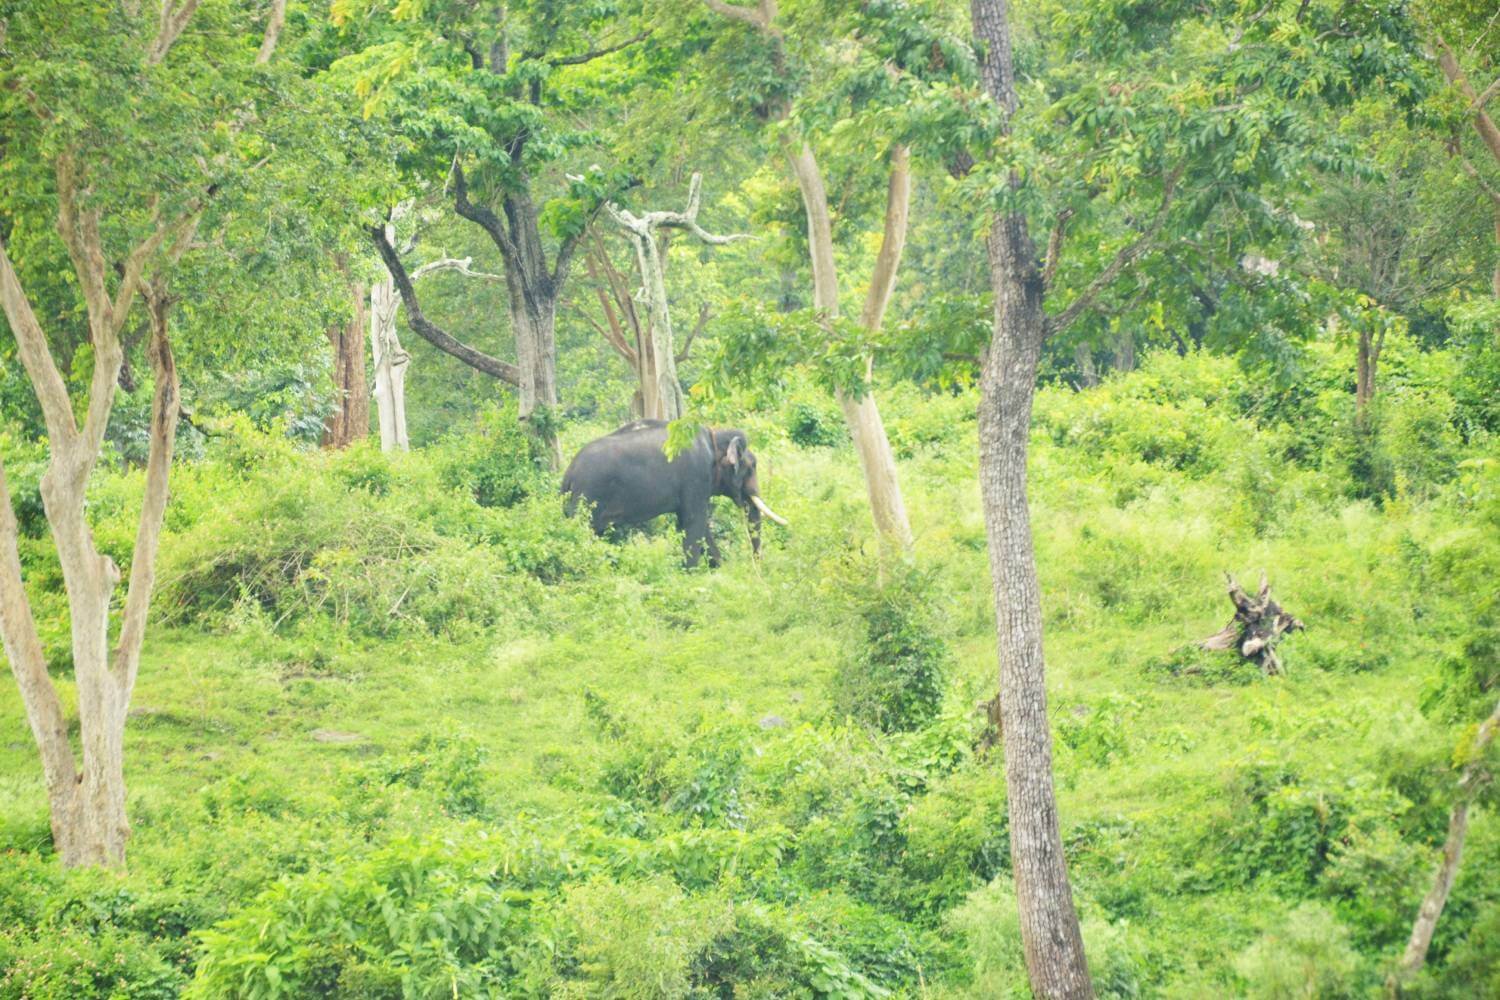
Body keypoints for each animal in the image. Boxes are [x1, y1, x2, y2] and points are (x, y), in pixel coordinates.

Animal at [561, 419, 792, 566]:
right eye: (751, 467)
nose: (757, 565)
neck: (714, 435)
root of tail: (568, 473)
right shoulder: (695, 477)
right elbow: (694, 522)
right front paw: (693, 572)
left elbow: (693, 524)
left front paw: (719, 568)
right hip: (588, 497)